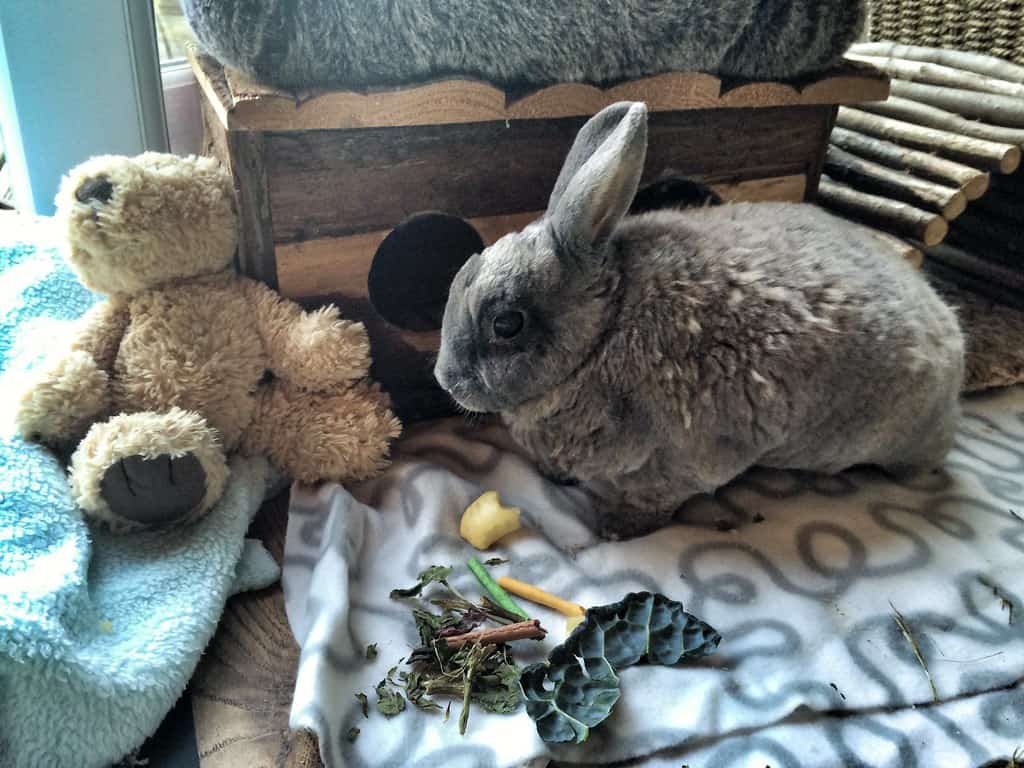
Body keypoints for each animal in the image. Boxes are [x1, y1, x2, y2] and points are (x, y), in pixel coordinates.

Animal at [436, 103, 962, 540]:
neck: (604, 331)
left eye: (507, 324)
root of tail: (952, 336)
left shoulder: (687, 461)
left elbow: (656, 498)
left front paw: (615, 528)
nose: (446, 380)